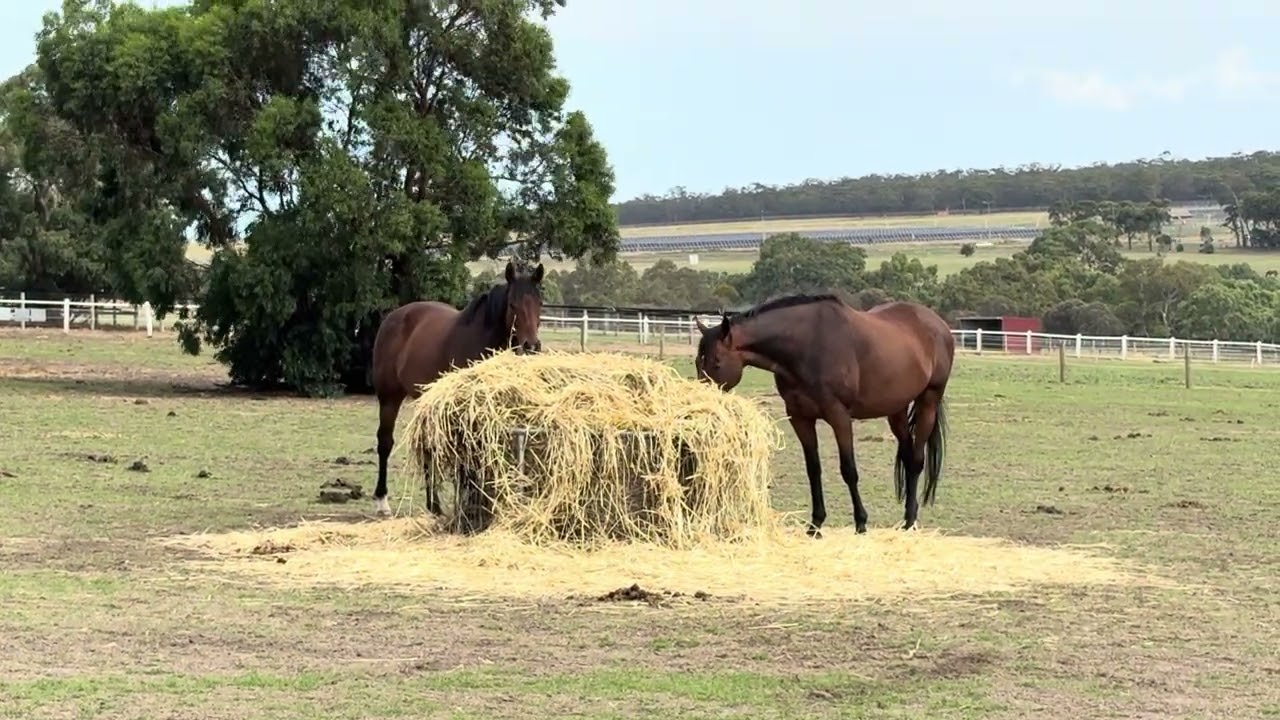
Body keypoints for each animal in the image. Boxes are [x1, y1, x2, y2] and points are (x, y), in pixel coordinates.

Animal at [369, 260, 545, 517]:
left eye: (539, 303)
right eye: (513, 304)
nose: (531, 345)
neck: (481, 339)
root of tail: (393, 317)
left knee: (428, 448)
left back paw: (434, 505)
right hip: (389, 397)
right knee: (385, 442)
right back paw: (383, 501)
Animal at [694, 293, 954, 536]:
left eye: (716, 362)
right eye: (697, 362)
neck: (806, 345)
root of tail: (938, 324)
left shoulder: (839, 416)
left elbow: (849, 470)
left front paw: (861, 523)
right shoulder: (800, 418)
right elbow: (813, 470)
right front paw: (815, 525)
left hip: (928, 401)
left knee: (917, 461)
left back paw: (910, 521)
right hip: (896, 410)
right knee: (908, 457)